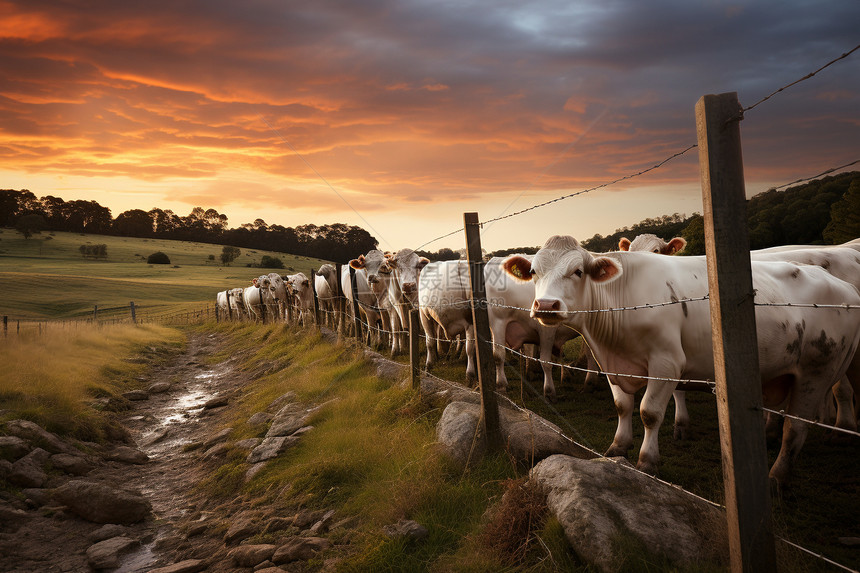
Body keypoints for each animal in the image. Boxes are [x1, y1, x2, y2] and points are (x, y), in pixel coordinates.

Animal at [504, 235, 860, 484]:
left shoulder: (667, 362)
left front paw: (647, 461)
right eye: (533, 272)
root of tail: (844, 288)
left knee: (797, 427)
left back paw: (779, 475)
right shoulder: (612, 364)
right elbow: (622, 406)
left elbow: (649, 412)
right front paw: (618, 447)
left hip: (817, 373)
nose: (545, 306)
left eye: (578, 271)